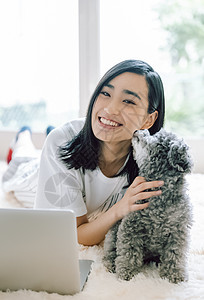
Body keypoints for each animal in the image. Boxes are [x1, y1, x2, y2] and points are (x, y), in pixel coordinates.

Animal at [103, 129, 193, 284]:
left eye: (154, 137)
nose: (137, 130)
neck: (160, 200)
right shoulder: (131, 228)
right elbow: (129, 252)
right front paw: (127, 273)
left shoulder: (178, 232)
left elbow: (174, 254)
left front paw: (174, 275)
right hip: (113, 232)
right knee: (110, 251)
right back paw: (111, 264)